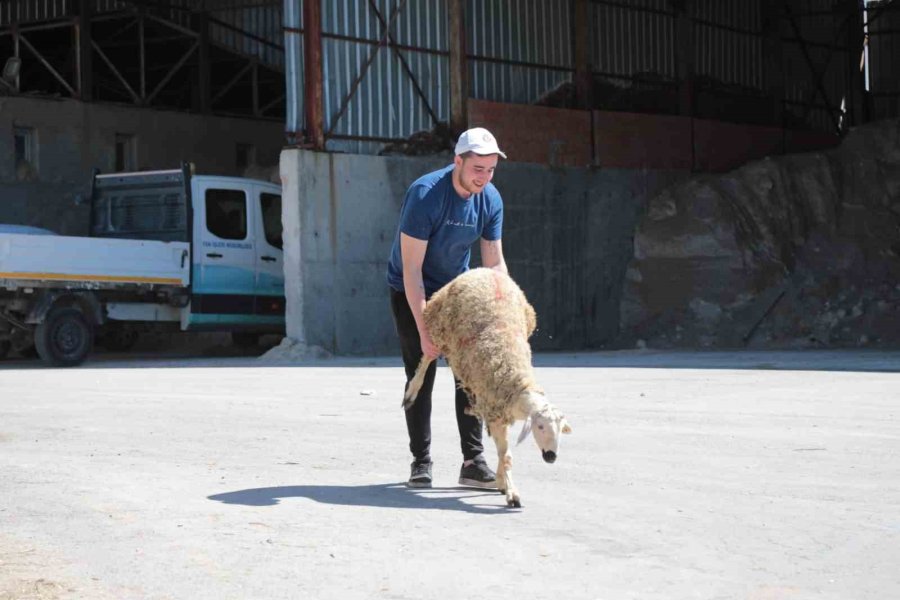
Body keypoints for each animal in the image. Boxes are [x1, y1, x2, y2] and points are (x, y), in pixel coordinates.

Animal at [400, 268, 568, 506]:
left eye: (561, 429)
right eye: (540, 426)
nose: (551, 457)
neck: (517, 380)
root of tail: (481, 270)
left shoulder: (498, 410)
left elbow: (502, 453)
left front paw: (501, 482)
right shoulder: (495, 410)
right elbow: (506, 456)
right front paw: (512, 493)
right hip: (436, 326)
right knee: (426, 358)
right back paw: (411, 393)